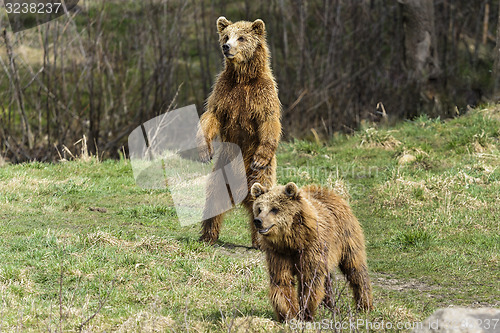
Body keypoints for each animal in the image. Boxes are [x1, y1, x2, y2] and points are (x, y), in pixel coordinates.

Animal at [196, 16, 282, 248]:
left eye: (241, 37)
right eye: (226, 36)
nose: (226, 47)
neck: (242, 78)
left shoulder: (263, 94)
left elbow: (269, 122)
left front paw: (261, 157)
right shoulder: (224, 92)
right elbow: (211, 116)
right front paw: (204, 151)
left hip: (257, 176)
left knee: (259, 200)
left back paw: (259, 241)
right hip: (223, 168)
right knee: (214, 196)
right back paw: (208, 235)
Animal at [252, 183, 374, 320]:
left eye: (274, 209)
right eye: (259, 209)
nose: (258, 221)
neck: (292, 241)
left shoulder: (311, 249)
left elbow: (310, 281)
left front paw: (306, 313)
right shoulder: (279, 254)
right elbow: (282, 280)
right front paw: (289, 313)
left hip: (346, 236)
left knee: (355, 268)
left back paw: (364, 305)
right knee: (328, 278)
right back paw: (329, 305)